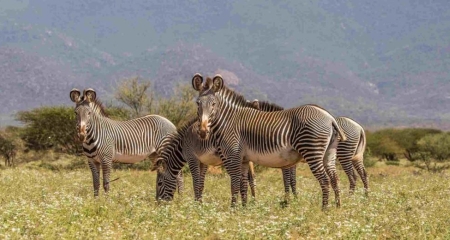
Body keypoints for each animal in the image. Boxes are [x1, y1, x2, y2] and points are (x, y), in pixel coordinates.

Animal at [192, 73, 346, 208]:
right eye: (198, 103)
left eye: (213, 104)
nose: (202, 131)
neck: (229, 121)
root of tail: (329, 117)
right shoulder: (244, 160)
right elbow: (244, 184)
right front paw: (244, 208)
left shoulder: (233, 156)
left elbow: (235, 183)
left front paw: (233, 209)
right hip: (329, 153)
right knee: (335, 178)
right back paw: (337, 207)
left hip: (312, 150)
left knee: (325, 180)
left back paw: (324, 209)